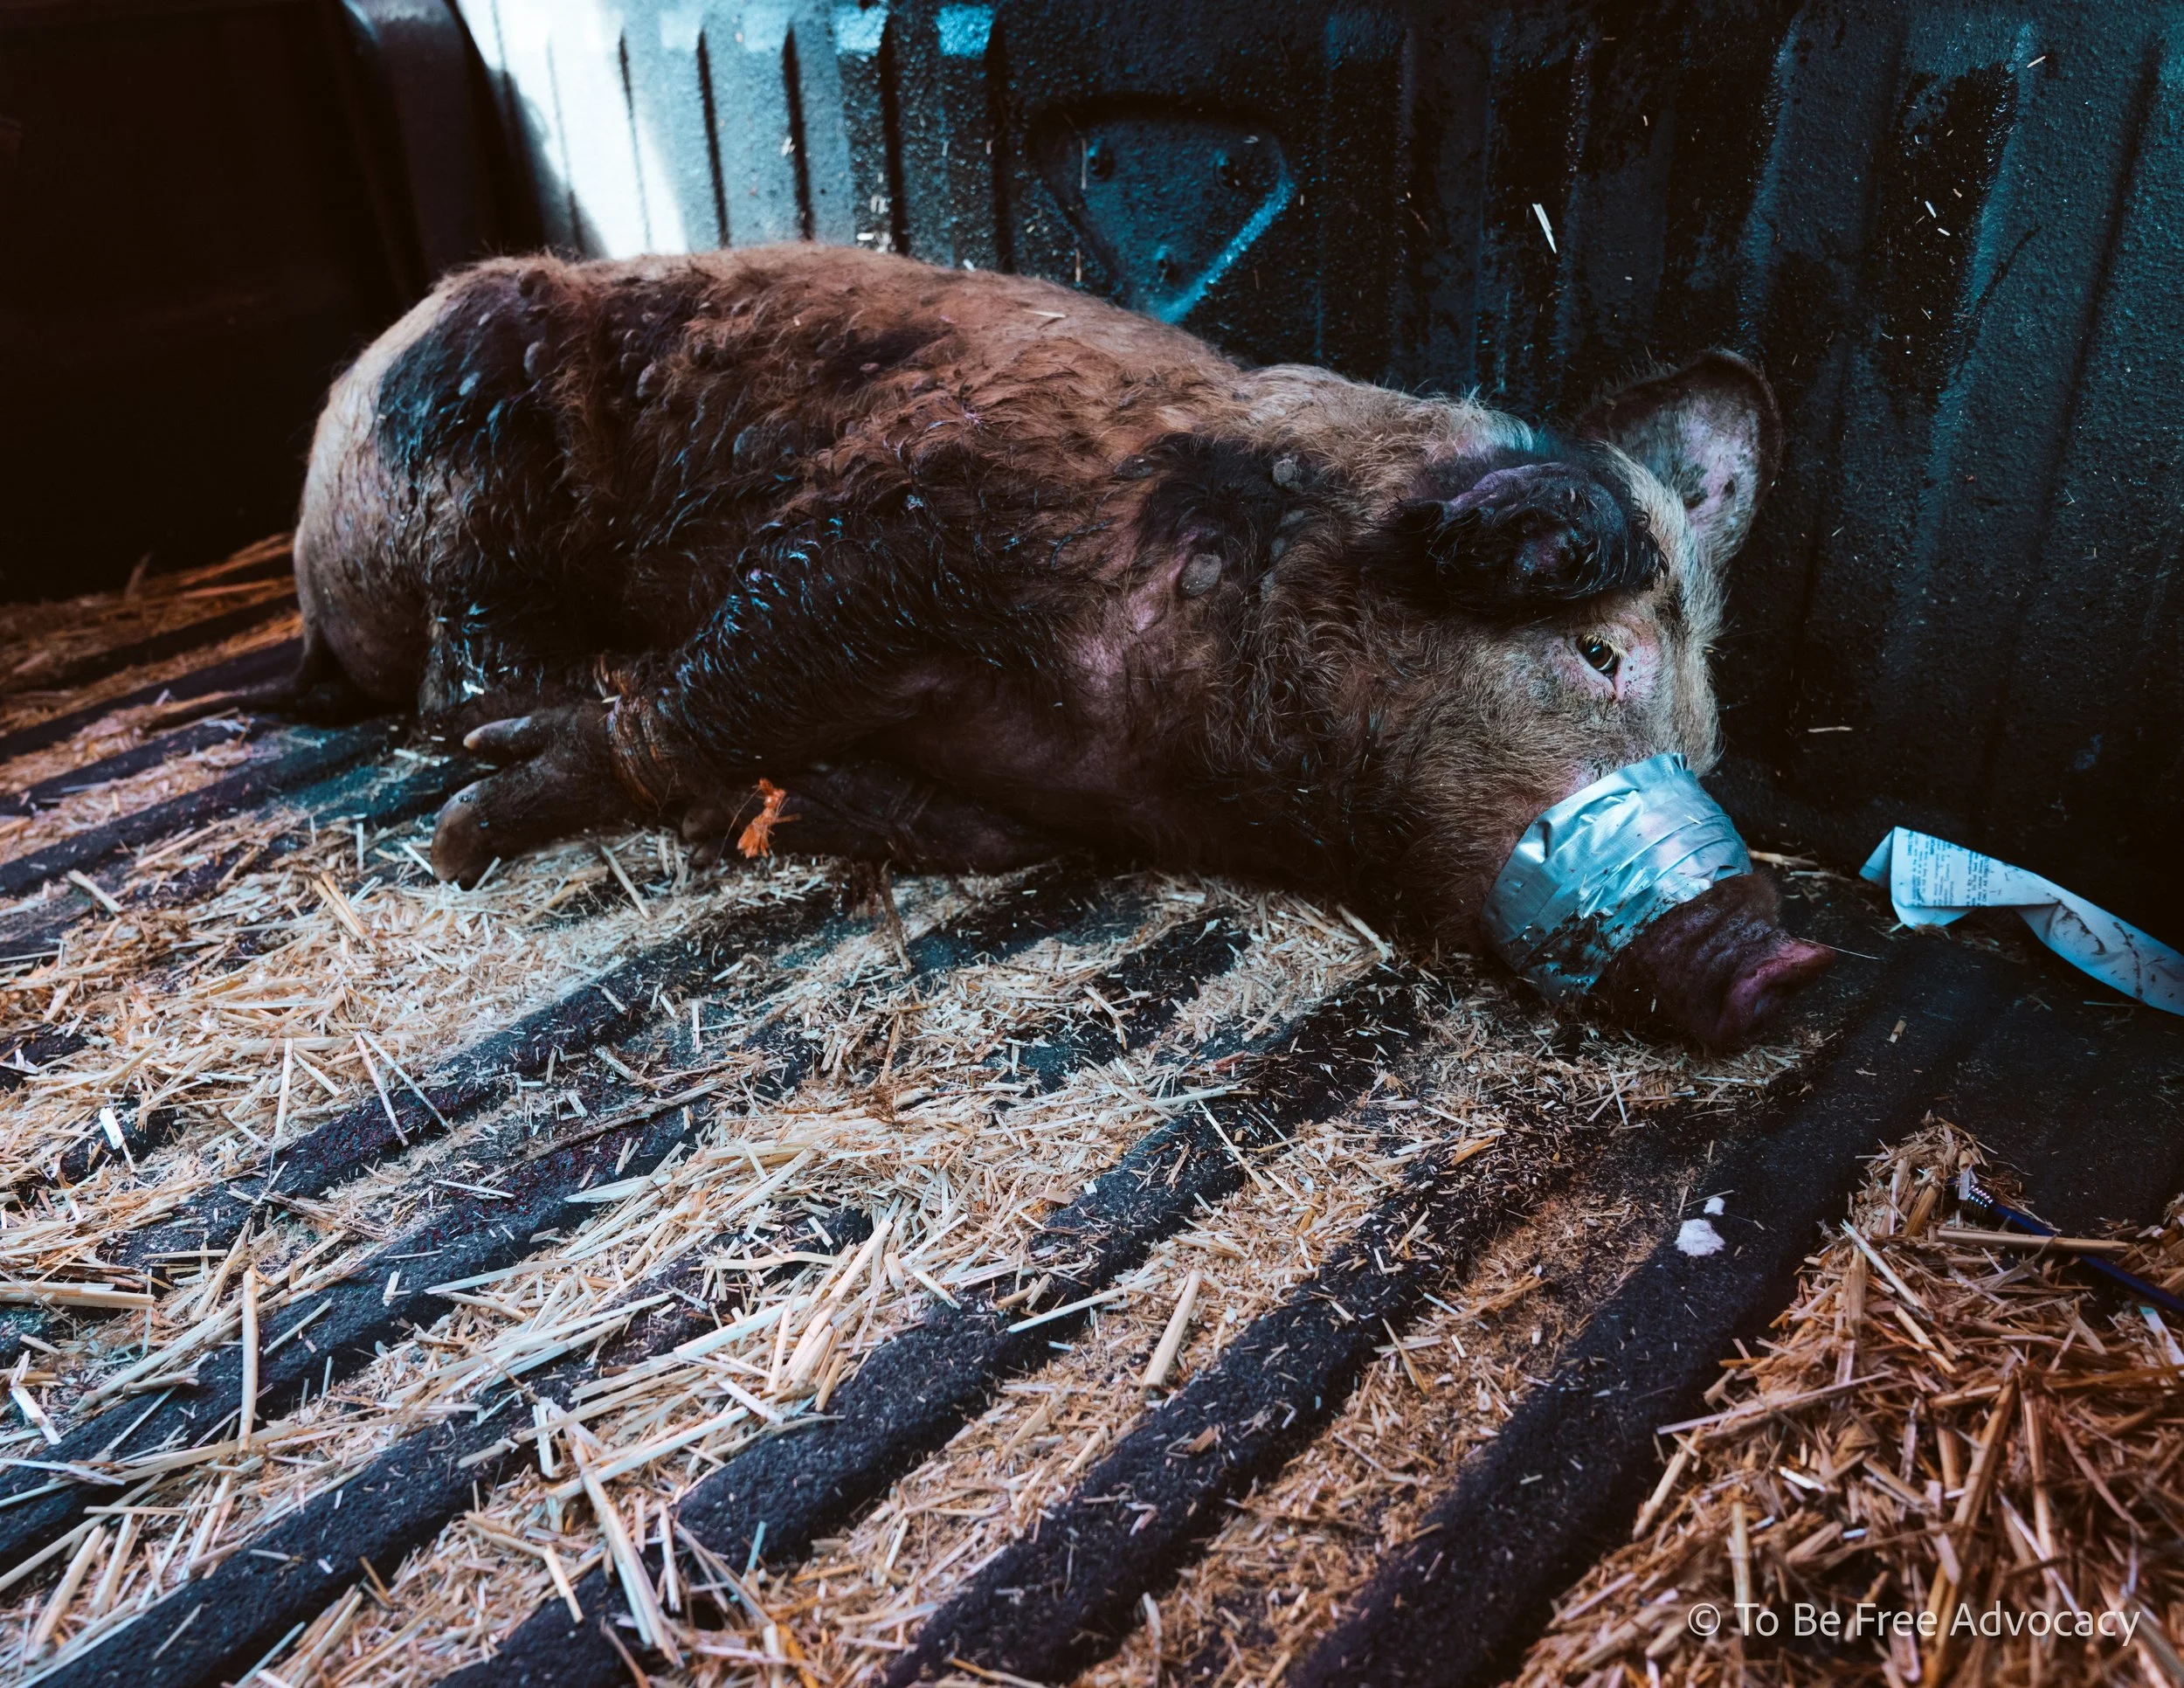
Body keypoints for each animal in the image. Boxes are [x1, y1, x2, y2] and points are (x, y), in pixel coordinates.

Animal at [289, 243, 1830, 1046]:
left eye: (1705, 747)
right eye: (1598, 653)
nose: (1783, 959)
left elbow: (954, 828)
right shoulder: (899, 522)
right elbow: (737, 664)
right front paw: (478, 827)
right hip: (463, 431)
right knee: (453, 676)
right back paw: (488, 760)